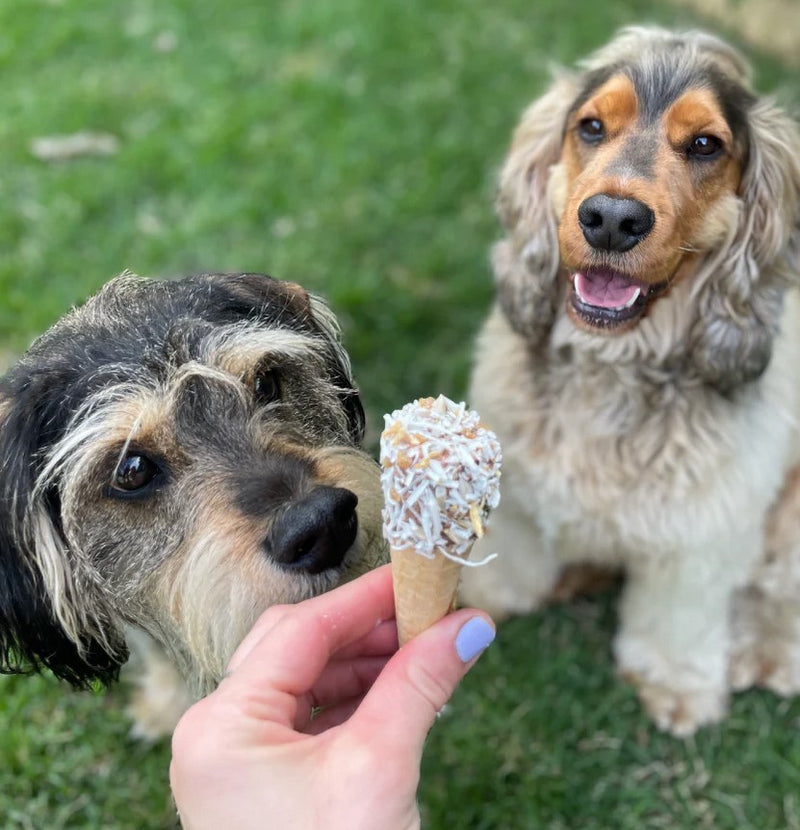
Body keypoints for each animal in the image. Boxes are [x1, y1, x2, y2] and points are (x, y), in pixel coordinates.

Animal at [460, 27, 800, 736]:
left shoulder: (702, 533)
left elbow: (678, 619)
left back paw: (767, 650)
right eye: (591, 127)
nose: (612, 219)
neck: (610, 366)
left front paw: (675, 686)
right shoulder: (521, 486)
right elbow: (514, 561)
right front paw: (484, 598)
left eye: (705, 145)